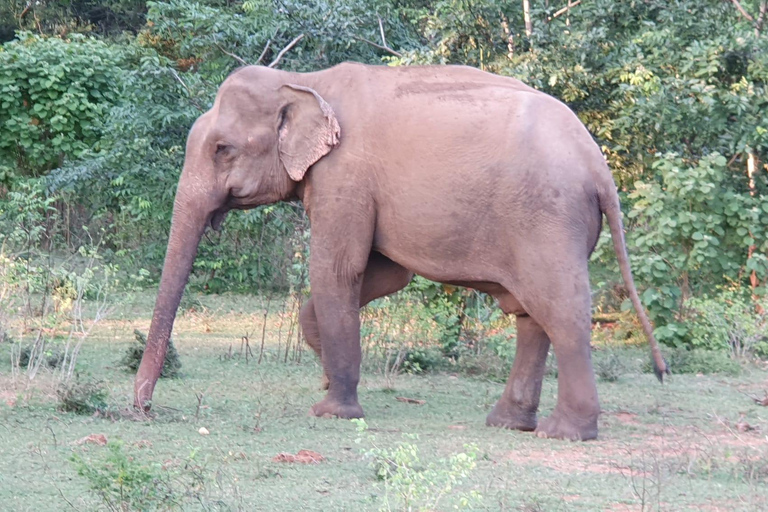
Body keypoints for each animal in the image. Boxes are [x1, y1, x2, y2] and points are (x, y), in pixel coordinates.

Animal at [135, 63, 668, 440]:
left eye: (222, 149)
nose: (141, 409)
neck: (305, 81)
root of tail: (599, 166)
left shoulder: (344, 175)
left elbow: (337, 270)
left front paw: (331, 411)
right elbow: (386, 276)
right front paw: (327, 376)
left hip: (549, 219)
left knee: (560, 307)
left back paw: (565, 434)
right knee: (529, 314)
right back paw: (507, 423)